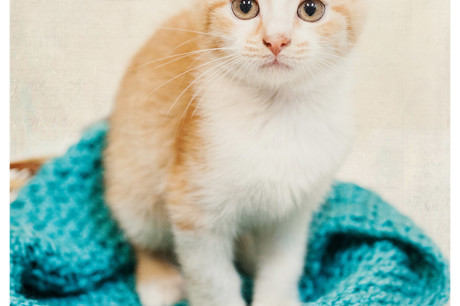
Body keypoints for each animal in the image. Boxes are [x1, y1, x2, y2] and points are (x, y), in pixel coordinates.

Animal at [104, 0, 366, 306]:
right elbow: (213, 281)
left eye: (311, 9)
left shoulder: (293, 211)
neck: (276, 118)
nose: (276, 40)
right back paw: (159, 282)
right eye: (244, 7)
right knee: (142, 235)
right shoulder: (194, 209)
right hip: (133, 179)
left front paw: (277, 299)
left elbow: (283, 265)